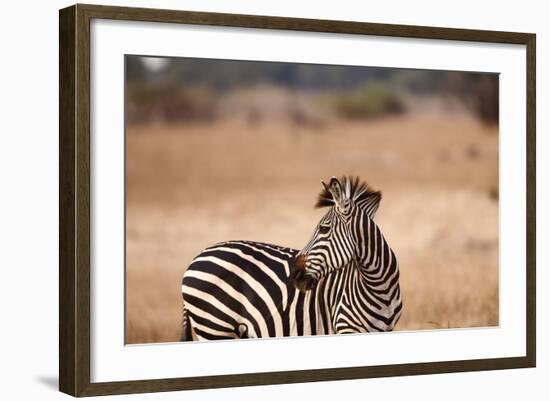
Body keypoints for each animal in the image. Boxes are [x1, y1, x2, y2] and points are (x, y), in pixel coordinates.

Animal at [181, 177, 402, 340]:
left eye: (324, 229)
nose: (294, 273)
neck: (380, 289)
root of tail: (195, 258)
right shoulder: (345, 326)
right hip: (214, 327)